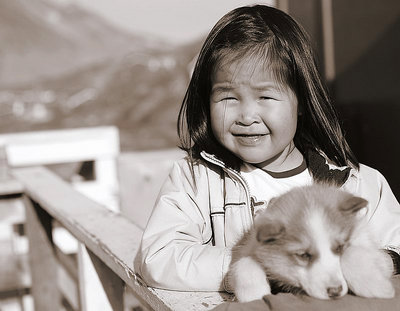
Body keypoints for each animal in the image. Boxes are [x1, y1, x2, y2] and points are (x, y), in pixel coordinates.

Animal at [227, 184, 396, 304]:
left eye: (340, 247)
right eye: (303, 255)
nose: (335, 291)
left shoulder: (379, 255)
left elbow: (352, 253)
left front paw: (375, 286)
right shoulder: (247, 247)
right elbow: (244, 262)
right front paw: (254, 295)